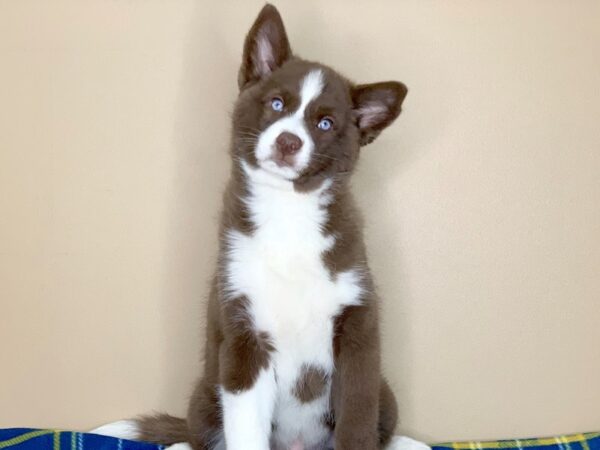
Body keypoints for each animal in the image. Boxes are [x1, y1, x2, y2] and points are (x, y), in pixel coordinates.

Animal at [92, 3, 432, 450]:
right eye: (275, 103)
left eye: (325, 124)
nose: (288, 142)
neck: (287, 212)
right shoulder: (243, 332)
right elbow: (245, 426)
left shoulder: (358, 328)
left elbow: (357, 419)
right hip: (206, 391)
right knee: (199, 435)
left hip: (386, 390)